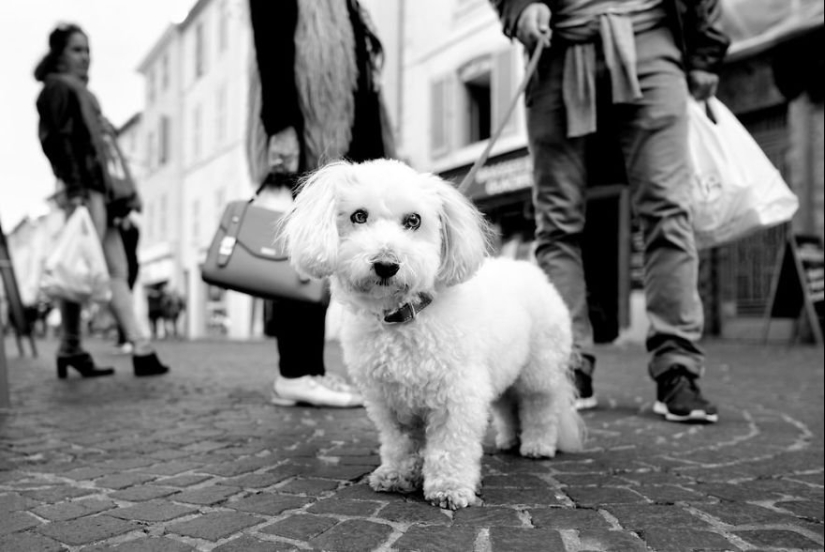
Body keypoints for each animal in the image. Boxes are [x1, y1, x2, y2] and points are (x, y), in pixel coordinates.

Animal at [284, 158, 584, 508]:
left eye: (413, 220)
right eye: (358, 215)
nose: (386, 264)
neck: (403, 317)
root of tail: (530, 268)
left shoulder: (458, 396)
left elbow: (450, 447)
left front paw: (449, 487)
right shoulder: (388, 401)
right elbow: (400, 443)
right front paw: (398, 475)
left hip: (539, 370)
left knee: (539, 408)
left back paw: (537, 445)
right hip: (504, 369)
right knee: (508, 405)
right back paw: (510, 439)